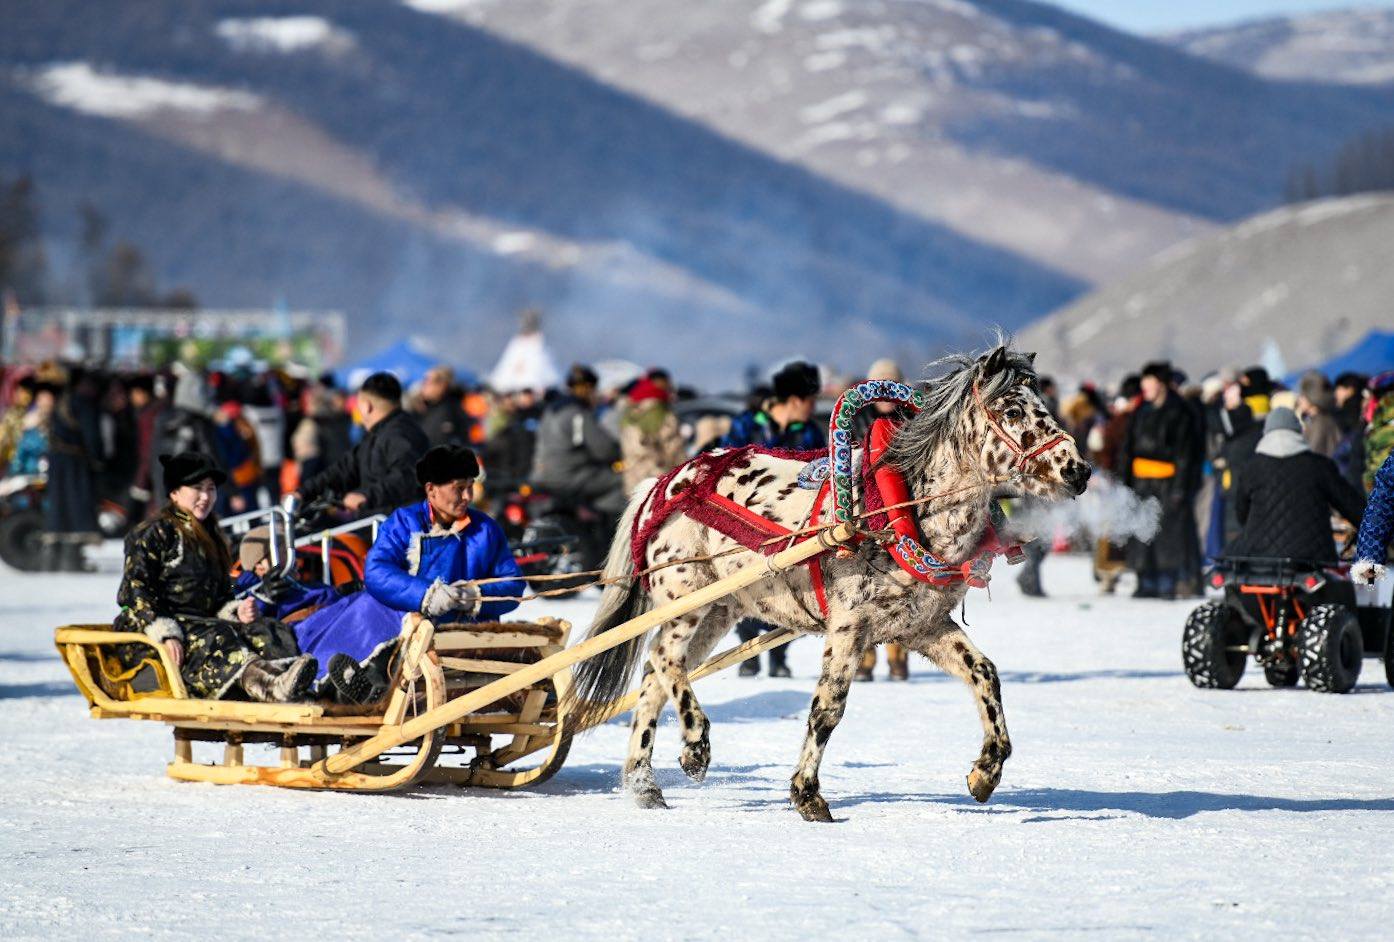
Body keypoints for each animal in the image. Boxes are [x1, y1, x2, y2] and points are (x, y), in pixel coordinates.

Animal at [563, 342, 1087, 819]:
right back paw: (694, 745)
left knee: (655, 676)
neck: (894, 510)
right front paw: (807, 794)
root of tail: (660, 486)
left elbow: (986, 673)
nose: (1079, 471)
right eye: (1013, 409)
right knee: (664, 661)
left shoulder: (923, 627)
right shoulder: (848, 627)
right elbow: (827, 709)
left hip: (718, 611)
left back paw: (643, 785)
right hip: (686, 599)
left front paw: (986, 772)